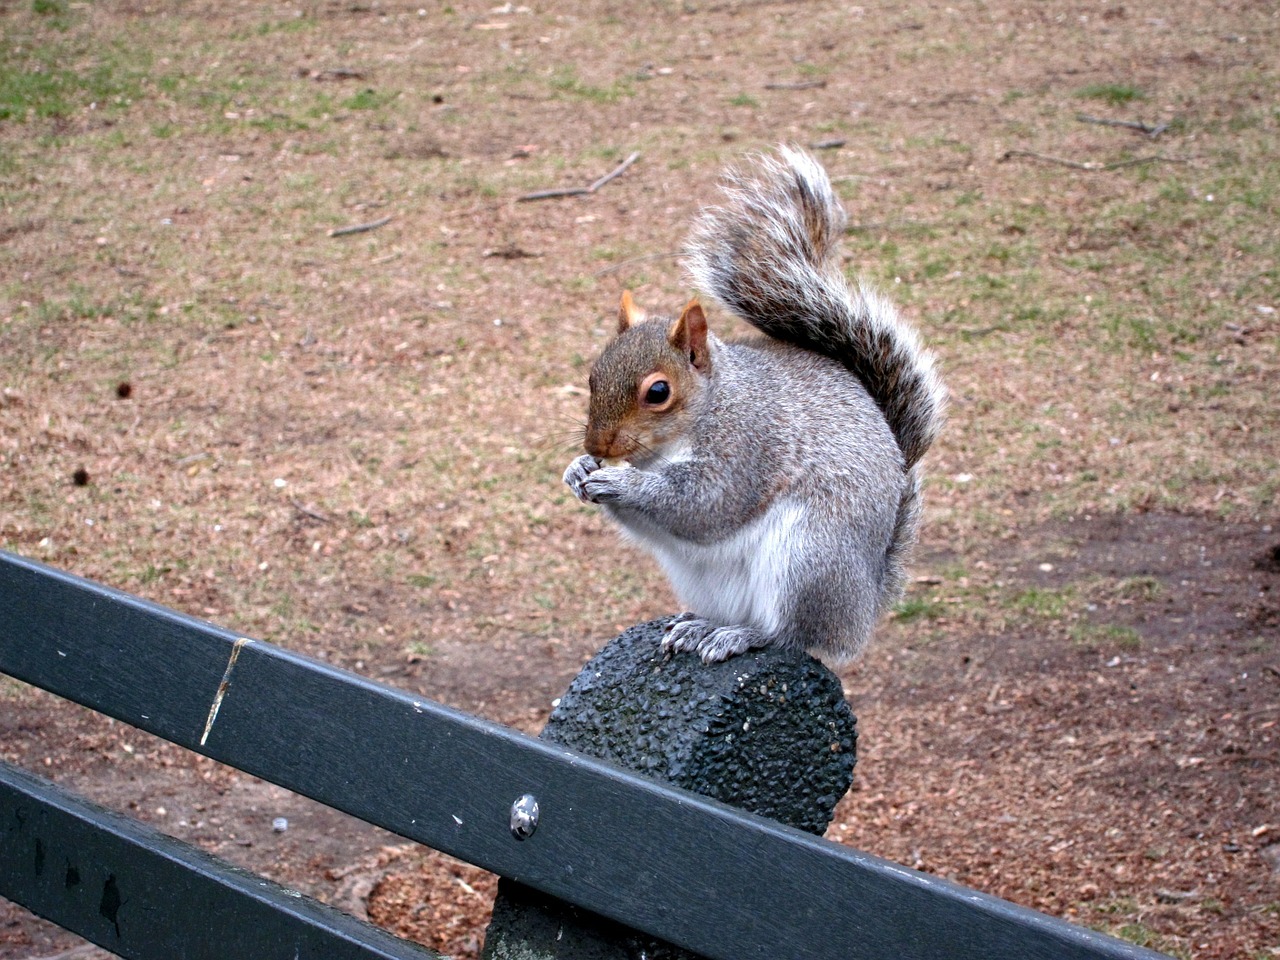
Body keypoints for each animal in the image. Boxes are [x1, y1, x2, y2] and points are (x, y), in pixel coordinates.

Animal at [565, 146, 947, 665]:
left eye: (658, 392)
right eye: (592, 375)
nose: (597, 445)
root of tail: (865, 603)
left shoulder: (750, 445)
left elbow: (704, 503)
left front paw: (621, 481)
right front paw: (578, 469)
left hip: (809, 557)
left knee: (792, 633)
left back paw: (742, 635)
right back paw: (699, 626)